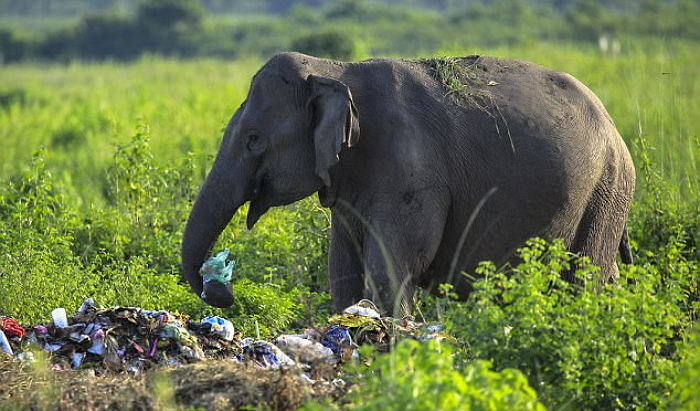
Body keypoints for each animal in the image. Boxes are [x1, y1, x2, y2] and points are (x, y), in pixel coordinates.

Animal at [180, 51, 636, 316]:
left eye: (254, 140)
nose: (221, 291)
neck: (333, 69)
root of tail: (615, 129)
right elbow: (342, 267)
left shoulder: (412, 171)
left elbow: (391, 266)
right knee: (606, 278)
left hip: (606, 191)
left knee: (586, 281)